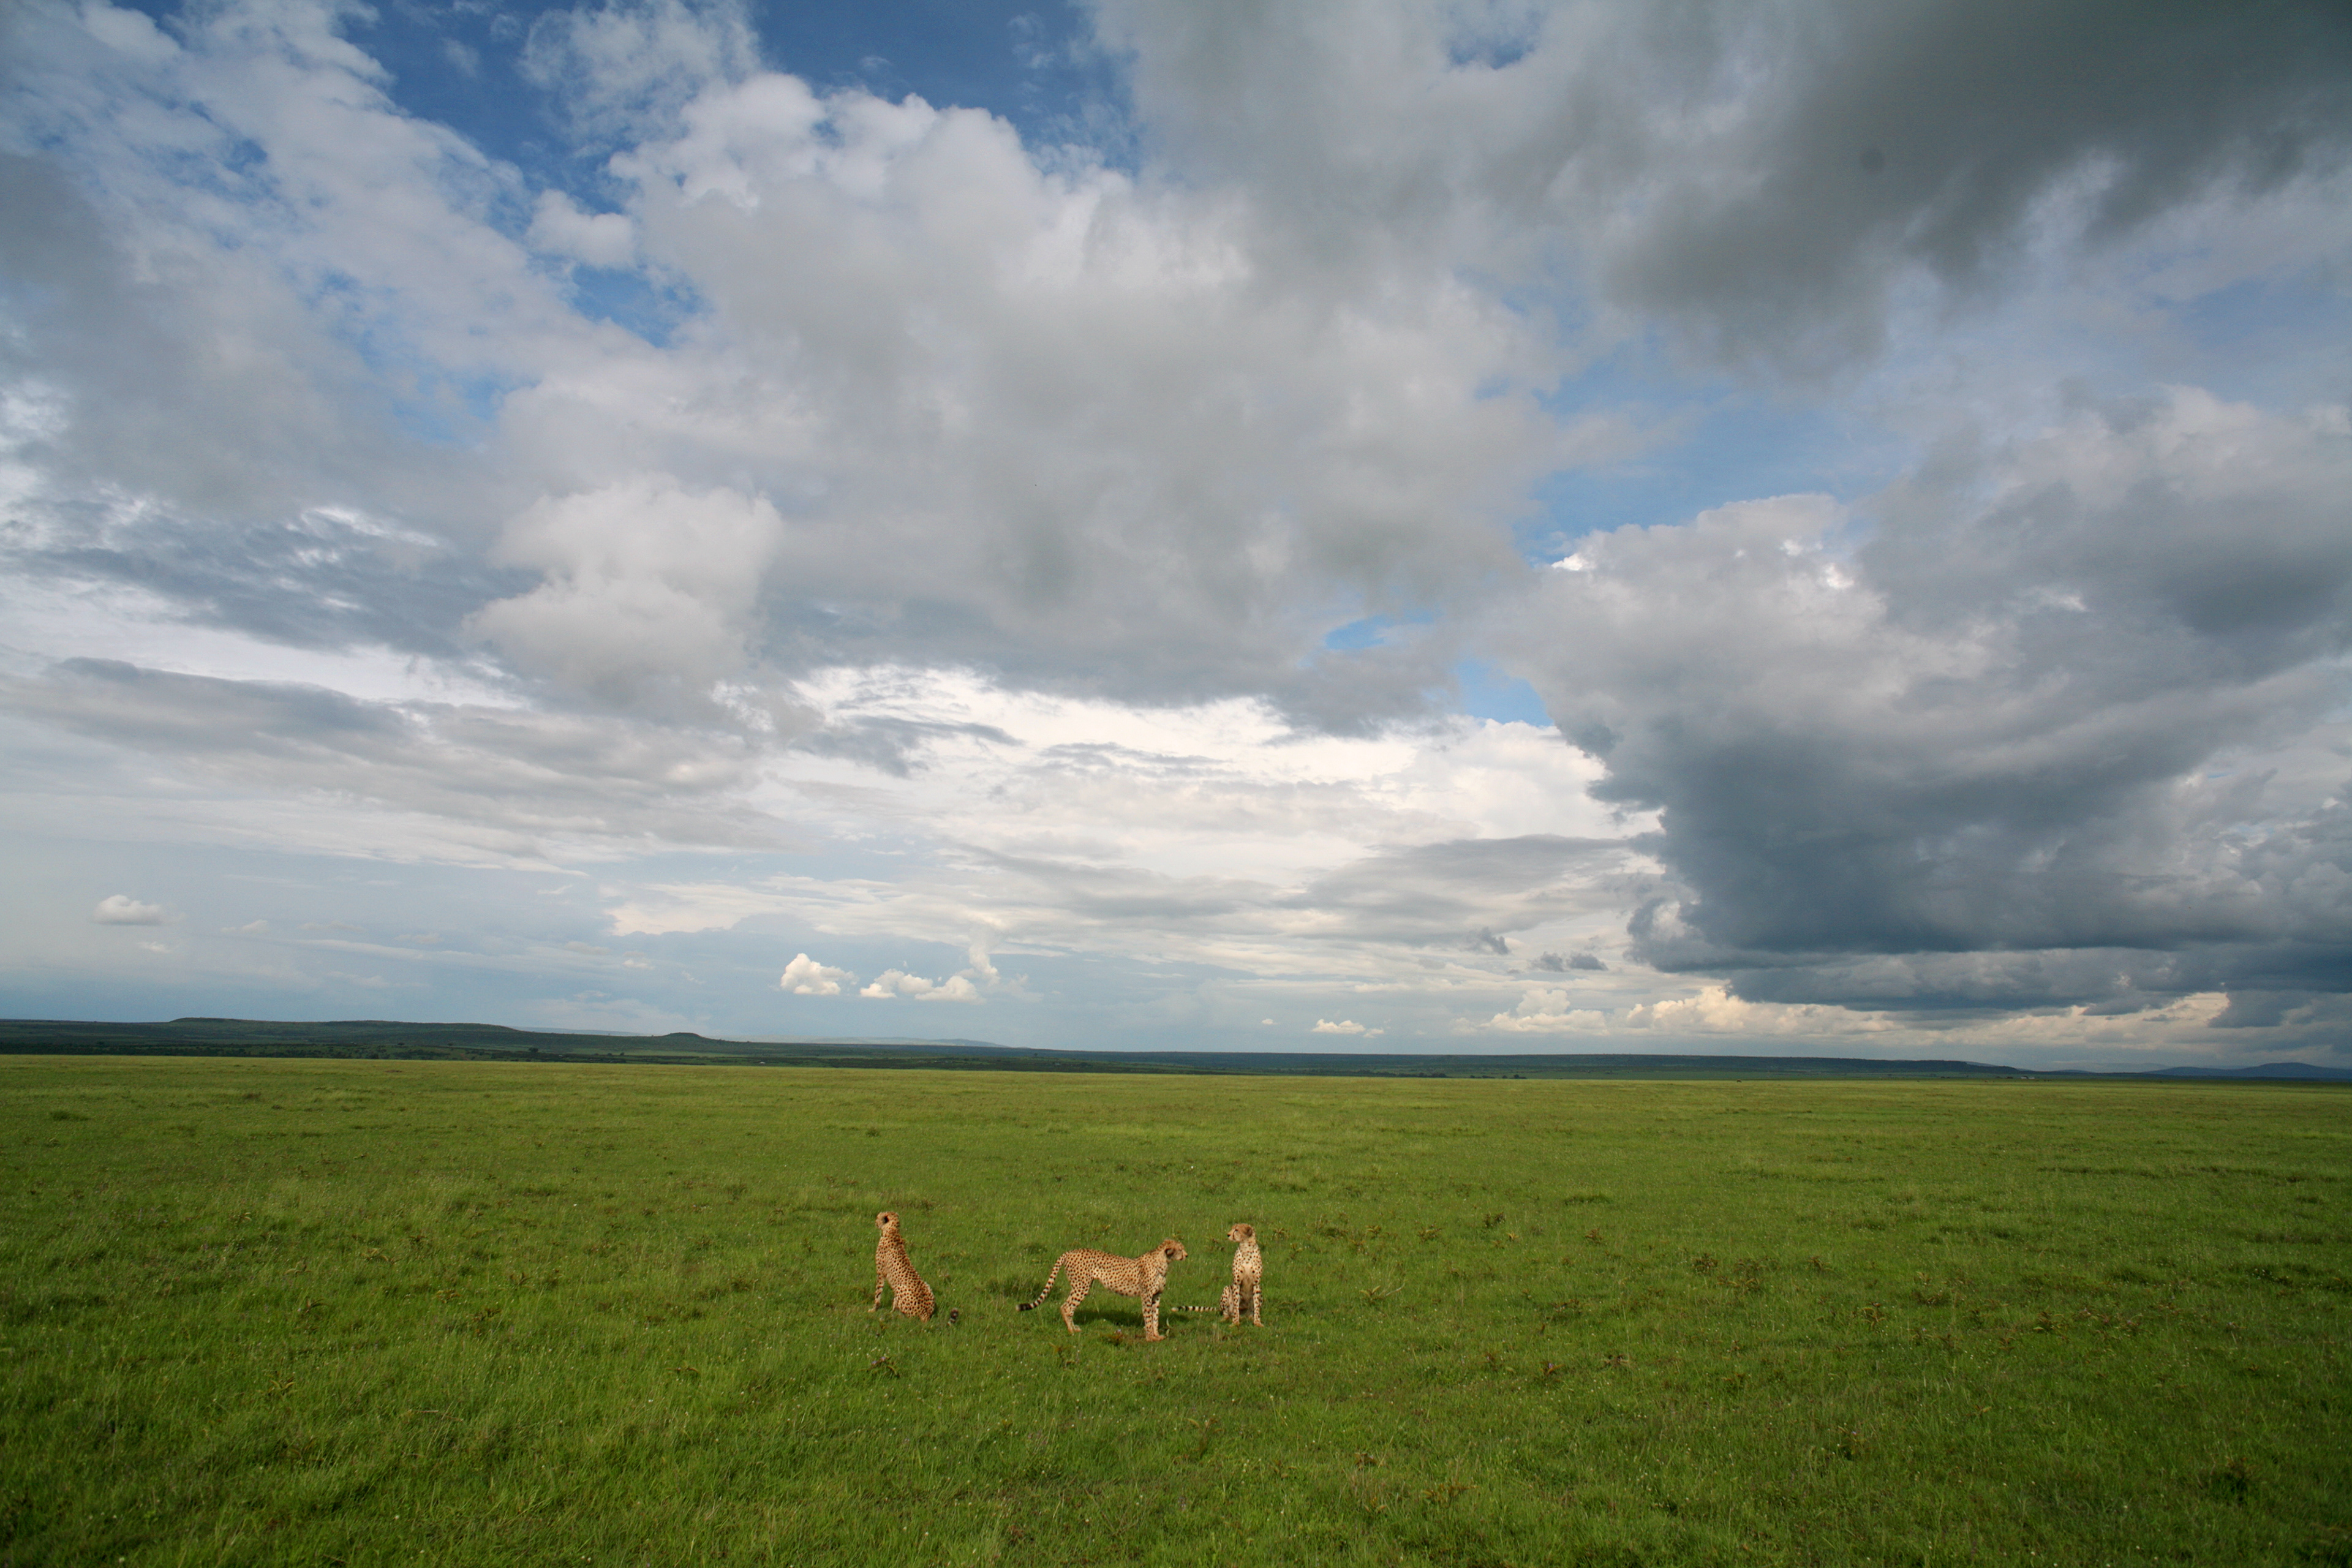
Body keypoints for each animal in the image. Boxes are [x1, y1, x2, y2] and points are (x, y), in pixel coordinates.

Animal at [870, 1211, 936, 1322]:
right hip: (927, 1286)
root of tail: (926, 1313)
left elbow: (878, 1292)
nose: (875, 1223)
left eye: (878, 1217)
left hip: (900, 1288)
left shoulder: (880, 1272)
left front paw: (874, 1309)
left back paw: (891, 1314)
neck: (892, 1231)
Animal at [1017, 1237, 1187, 1339]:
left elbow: (1155, 1316)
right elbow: (1148, 1317)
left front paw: (1157, 1336)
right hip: (1081, 1287)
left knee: (1068, 1306)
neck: (1163, 1262)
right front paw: (1150, 1337)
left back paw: (1074, 1328)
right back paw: (1072, 1331)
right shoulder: (1146, 1296)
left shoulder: (1156, 1296)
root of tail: (1071, 1252)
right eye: (1181, 1249)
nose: (1187, 1255)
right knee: (1066, 1307)